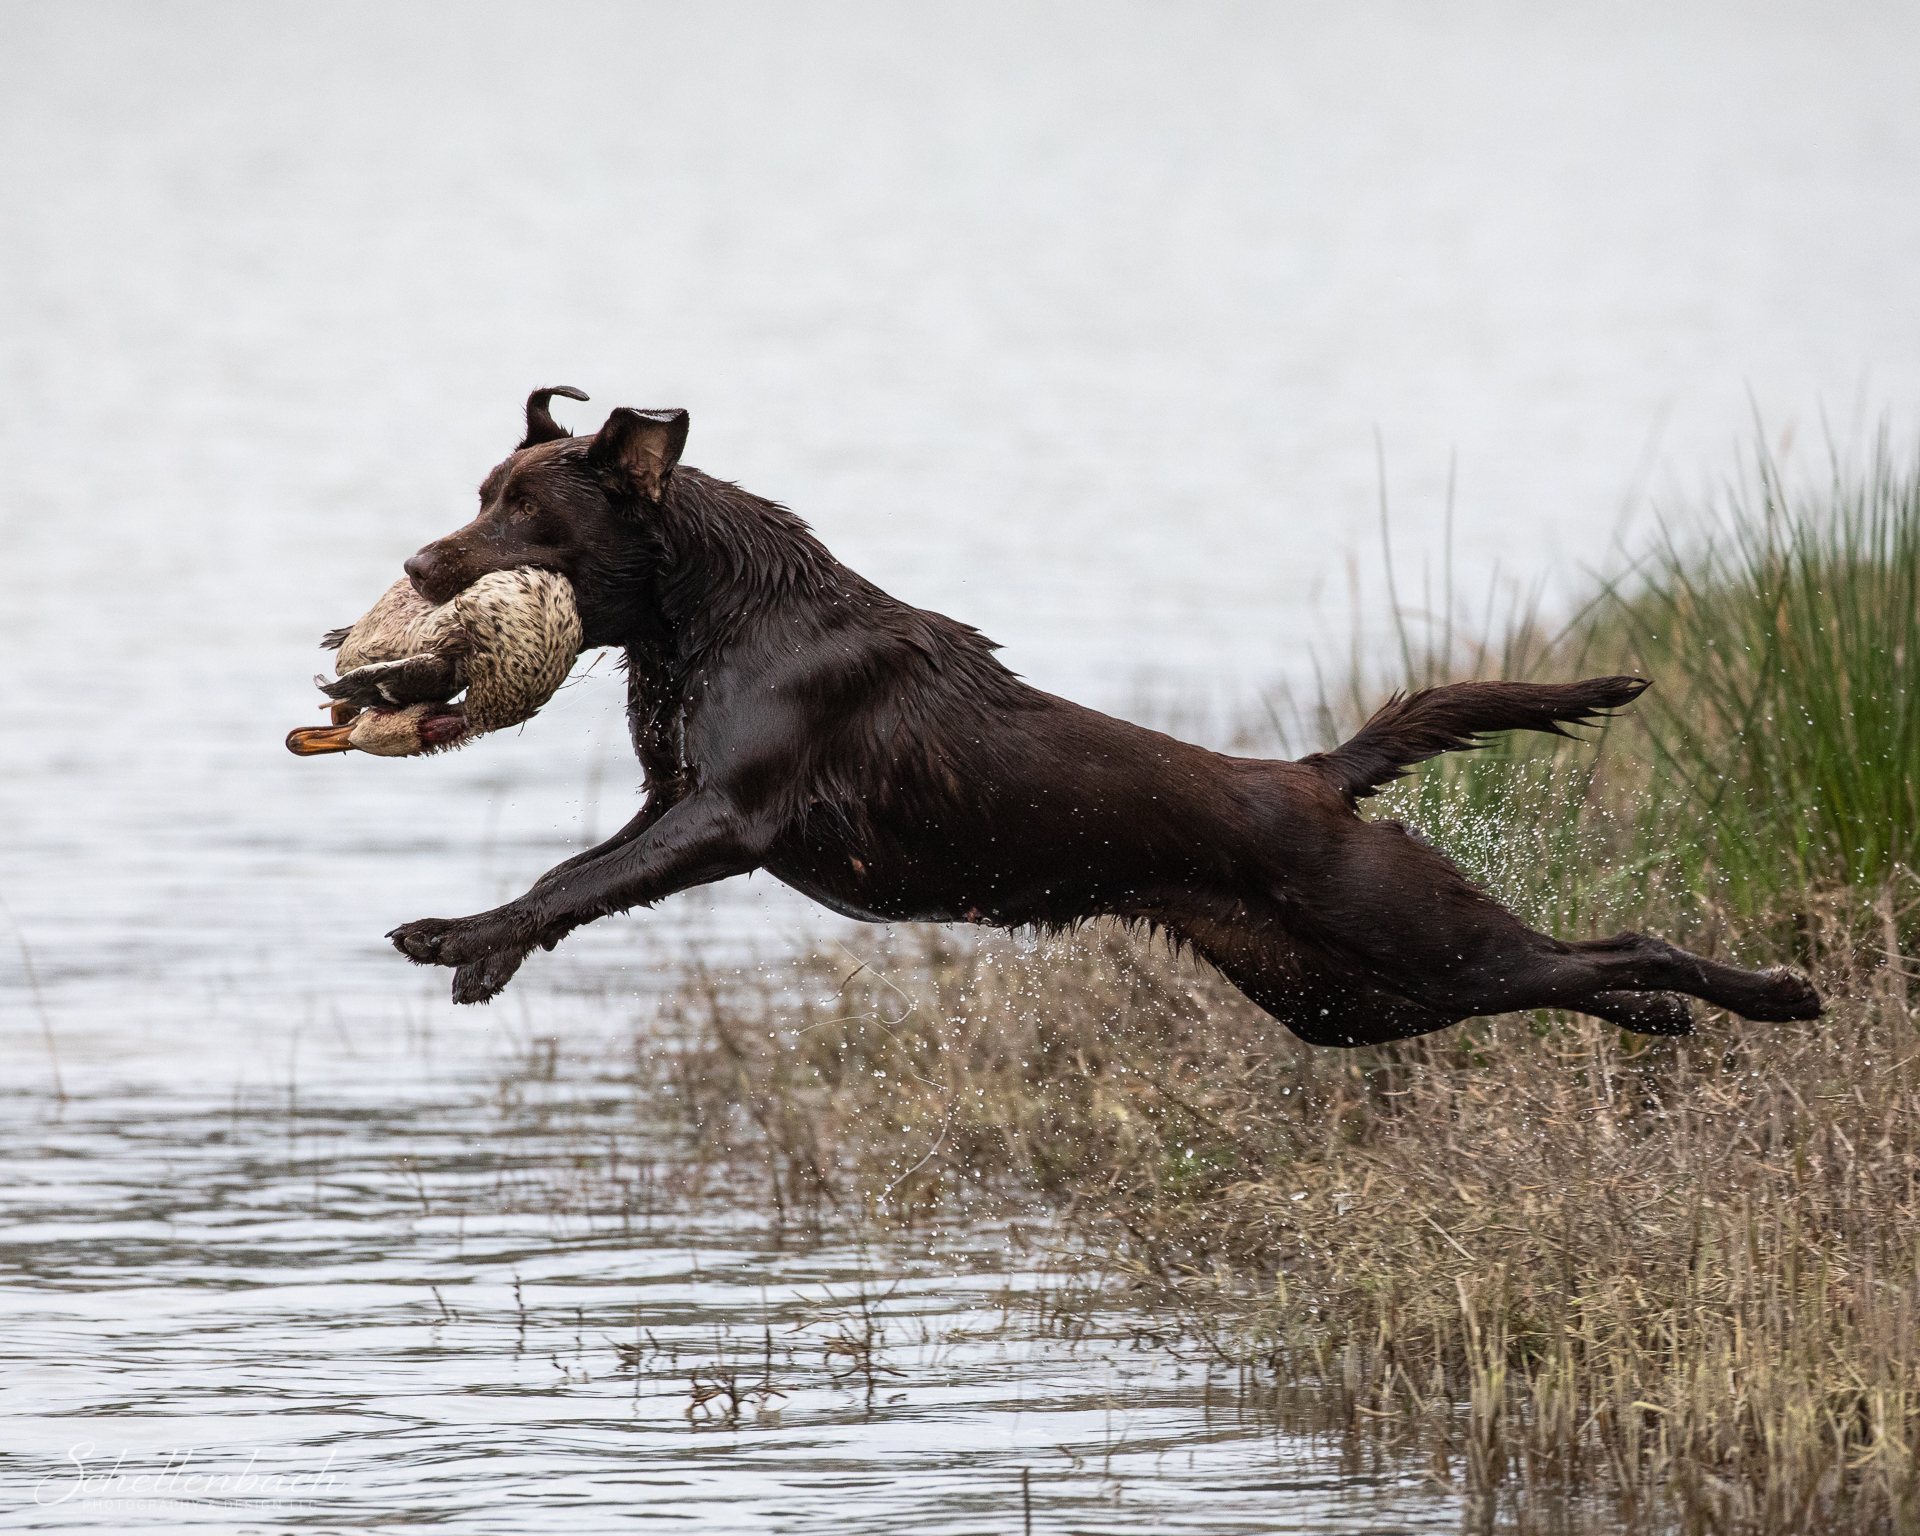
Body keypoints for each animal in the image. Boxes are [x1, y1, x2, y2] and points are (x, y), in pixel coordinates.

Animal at [378, 389, 1827, 1052]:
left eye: (527, 513)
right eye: (484, 495)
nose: (421, 563)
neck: (712, 616)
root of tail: (1316, 775)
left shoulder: (722, 820)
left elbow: (572, 881)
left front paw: (463, 938)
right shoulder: (667, 806)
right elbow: (573, 873)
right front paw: (477, 943)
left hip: (1412, 937)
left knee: (1617, 944)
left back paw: (1772, 995)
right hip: (1346, 998)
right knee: (1573, 971)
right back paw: (1663, 1022)